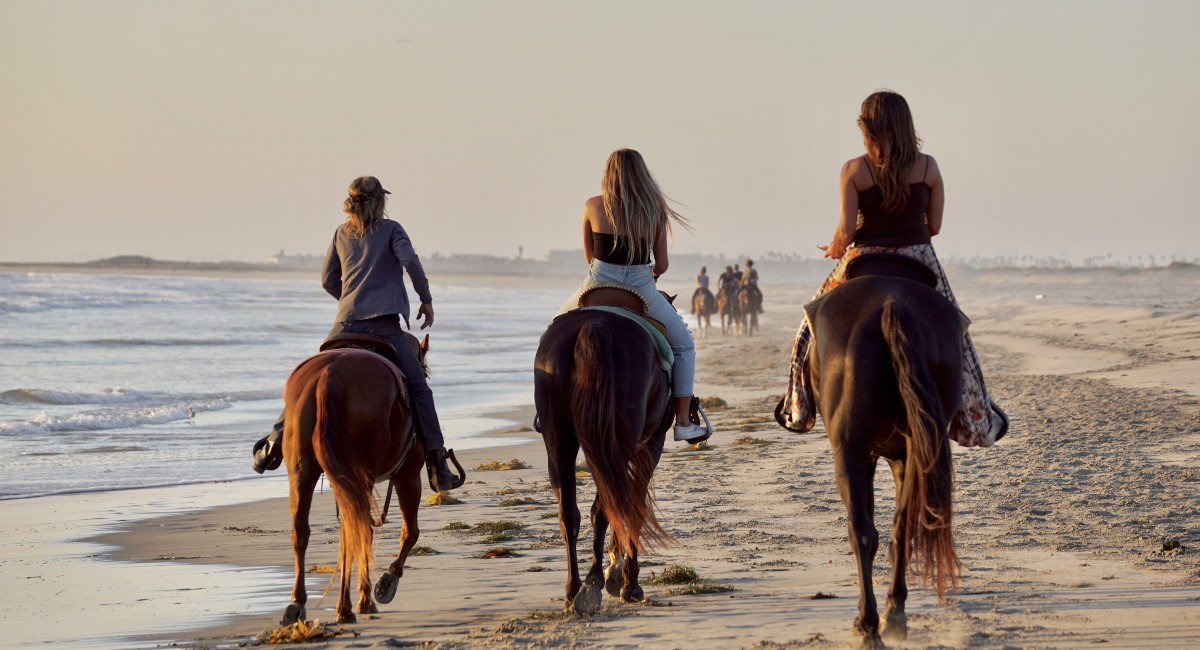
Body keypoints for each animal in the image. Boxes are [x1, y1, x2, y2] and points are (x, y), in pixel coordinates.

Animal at [280, 335, 432, 628]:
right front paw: (386, 582)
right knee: (361, 529)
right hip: (364, 475)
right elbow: (410, 532)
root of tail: (329, 375)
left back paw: (302, 605)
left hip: (303, 470)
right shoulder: (409, 474)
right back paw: (357, 603)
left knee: (303, 530)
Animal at [535, 298, 676, 614]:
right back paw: (602, 580)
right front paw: (626, 579)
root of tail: (594, 326)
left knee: (570, 512)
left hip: (560, 441)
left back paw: (575, 589)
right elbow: (633, 505)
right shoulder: (652, 444)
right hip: (619, 442)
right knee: (610, 504)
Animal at [806, 257, 964, 647]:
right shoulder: (901, 457)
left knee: (862, 531)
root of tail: (891, 303)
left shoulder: (862, 454)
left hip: (848, 451)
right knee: (900, 526)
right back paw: (894, 612)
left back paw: (868, 622)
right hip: (916, 451)